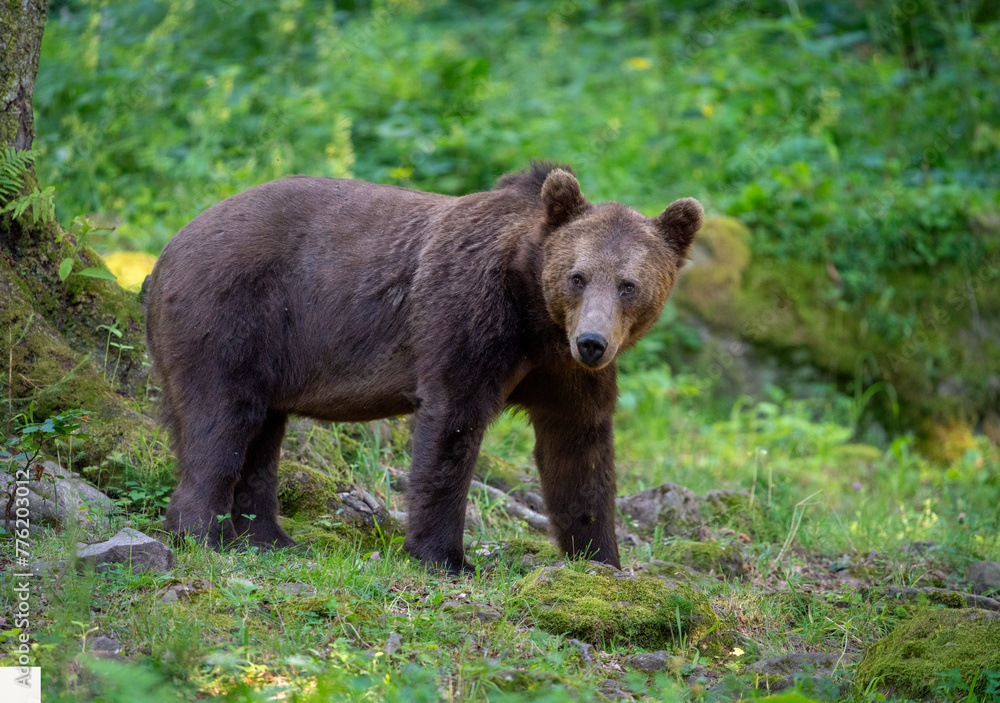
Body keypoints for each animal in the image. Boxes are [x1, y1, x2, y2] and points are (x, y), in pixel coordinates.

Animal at [146, 162, 704, 576]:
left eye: (629, 284)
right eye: (578, 276)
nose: (591, 342)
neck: (534, 317)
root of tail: (166, 252)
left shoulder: (564, 374)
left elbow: (578, 452)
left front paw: (601, 559)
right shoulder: (468, 319)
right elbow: (451, 427)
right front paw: (444, 556)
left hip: (273, 352)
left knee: (262, 432)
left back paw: (269, 538)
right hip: (231, 314)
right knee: (221, 418)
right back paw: (208, 533)